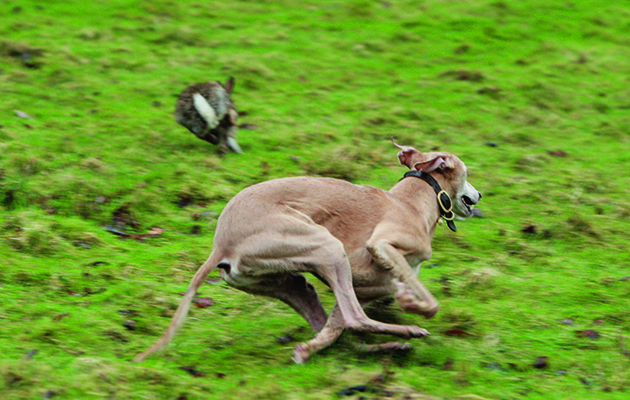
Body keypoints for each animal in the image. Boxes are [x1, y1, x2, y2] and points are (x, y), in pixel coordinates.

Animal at [136, 143, 482, 362]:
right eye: (467, 172)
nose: (479, 196)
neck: (412, 199)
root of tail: (221, 244)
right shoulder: (381, 245)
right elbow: (428, 301)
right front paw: (412, 304)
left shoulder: (362, 286)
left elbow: (332, 330)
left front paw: (308, 350)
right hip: (328, 248)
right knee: (356, 319)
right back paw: (408, 332)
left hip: (290, 281)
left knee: (331, 325)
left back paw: (388, 346)